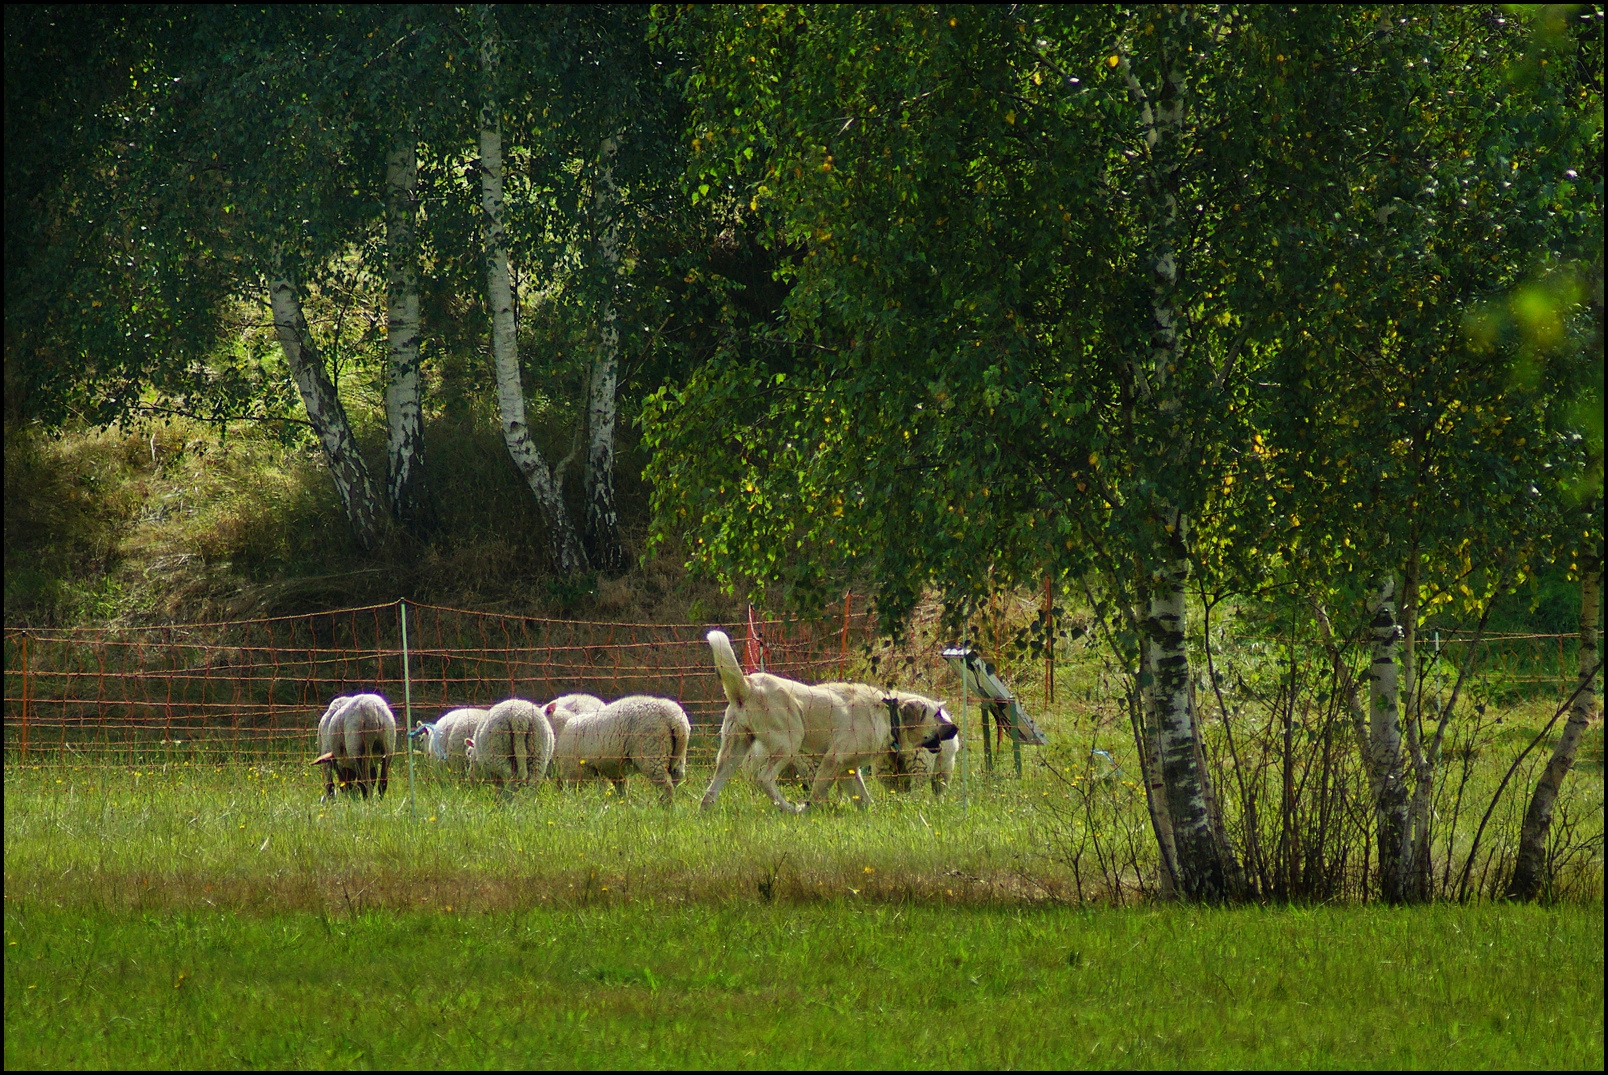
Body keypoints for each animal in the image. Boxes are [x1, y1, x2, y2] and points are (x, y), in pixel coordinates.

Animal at [549, 697, 688, 803]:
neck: (561, 728)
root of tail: (676, 719)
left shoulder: (573, 769)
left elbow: (574, 790)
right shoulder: (612, 769)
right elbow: (620, 788)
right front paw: (622, 804)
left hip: (652, 749)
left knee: (666, 785)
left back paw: (665, 807)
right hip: (678, 756)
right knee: (676, 776)